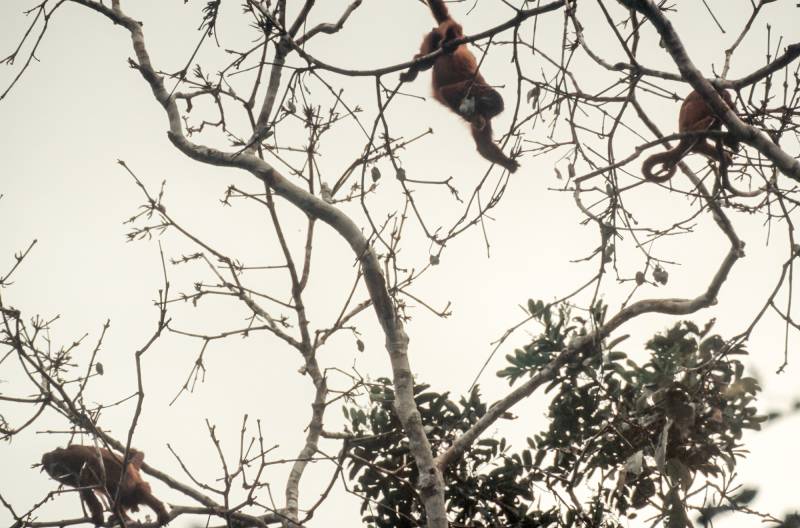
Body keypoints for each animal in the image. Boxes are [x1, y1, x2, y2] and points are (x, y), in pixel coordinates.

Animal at [41, 444, 170, 524]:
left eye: (55, 464)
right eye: (49, 469)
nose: (54, 470)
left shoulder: (75, 453)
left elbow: (92, 460)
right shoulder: (69, 478)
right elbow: (84, 488)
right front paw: (97, 514)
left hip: (136, 487)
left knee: (139, 491)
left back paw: (161, 511)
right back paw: (122, 517)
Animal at [400, 0, 520, 173]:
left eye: (490, 115)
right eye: (487, 110)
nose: (484, 118)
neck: (481, 92)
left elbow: (483, 146)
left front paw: (510, 164)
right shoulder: (470, 87)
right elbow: (445, 92)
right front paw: (469, 116)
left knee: (426, 61)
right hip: (437, 34)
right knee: (438, 47)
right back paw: (447, 41)